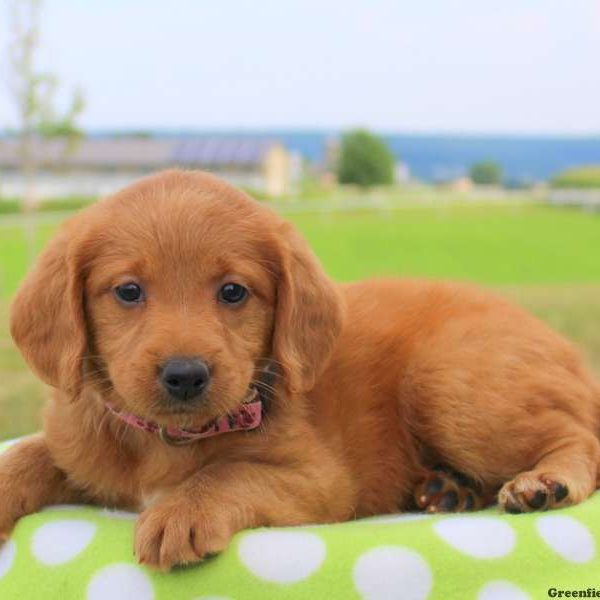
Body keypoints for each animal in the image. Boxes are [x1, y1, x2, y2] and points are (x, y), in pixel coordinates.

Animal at [3, 169, 600, 568]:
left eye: (233, 292)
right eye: (127, 291)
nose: (185, 374)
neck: (165, 443)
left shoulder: (320, 480)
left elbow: (228, 472)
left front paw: (182, 511)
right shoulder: (79, 445)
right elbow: (32, 452)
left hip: (448, 384)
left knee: (579, 437)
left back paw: (543, 484)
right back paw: (448, 491)